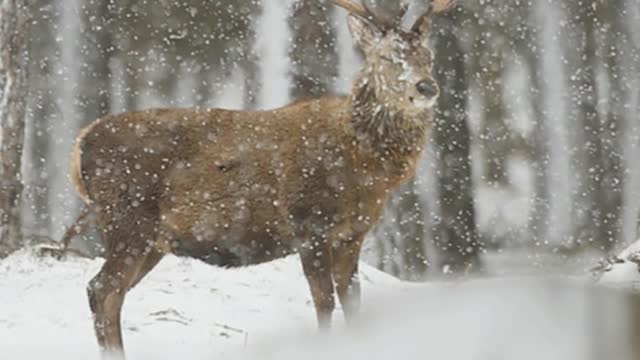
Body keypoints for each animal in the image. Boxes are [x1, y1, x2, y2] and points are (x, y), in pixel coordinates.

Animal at [65, 0, 456, 356]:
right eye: (388, 57)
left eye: (428, 56)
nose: (426, 87)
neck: (362, 165)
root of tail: (81, 143)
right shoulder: (308, 224)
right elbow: (324, 303)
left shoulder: (352, 234)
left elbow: (354, 304)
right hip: (127, 218)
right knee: (103, 289)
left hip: (152, 239)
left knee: (106, 292)